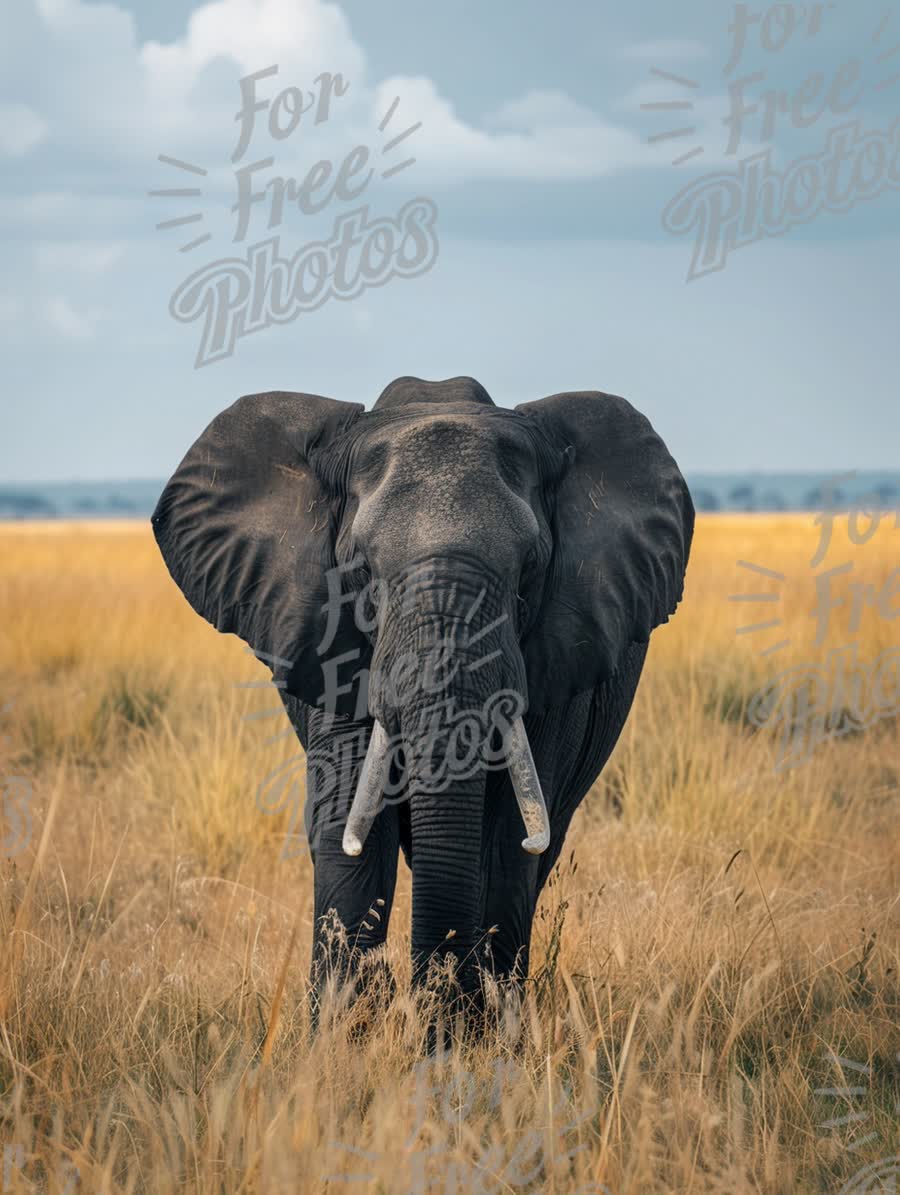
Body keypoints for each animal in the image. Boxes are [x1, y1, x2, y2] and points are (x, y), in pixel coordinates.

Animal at [151, 375, 693, 1027]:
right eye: (360, 569)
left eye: (530, 569)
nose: (425, 1007)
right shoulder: (332, 647)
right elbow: (348, 822)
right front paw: (340, 1036)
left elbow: (505, 839)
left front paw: (475, 1037)